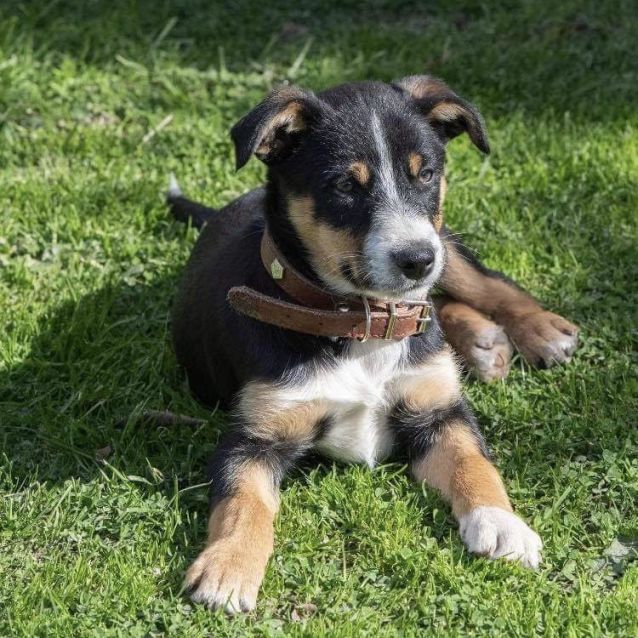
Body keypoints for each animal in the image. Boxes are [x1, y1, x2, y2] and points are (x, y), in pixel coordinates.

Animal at [169, 76, 580, 616]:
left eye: (425, 175)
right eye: (345, 186)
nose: (417, 260)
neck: (362, 325)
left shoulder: (439, 412)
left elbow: (475, 462)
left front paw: (503, 524)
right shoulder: (255, 435)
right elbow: (242, 501)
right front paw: (228, 567)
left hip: (448, 242)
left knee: (485, 284)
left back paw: (539, 331)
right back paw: (481, 341)